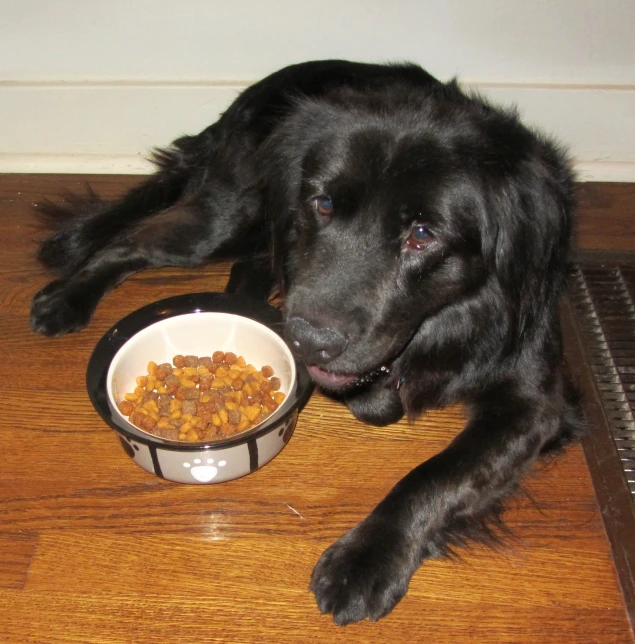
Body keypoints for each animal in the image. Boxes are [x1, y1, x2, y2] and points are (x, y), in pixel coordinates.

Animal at [32, 59, 584, 624]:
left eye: (422, 234)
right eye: (322, 203)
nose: (305, 339)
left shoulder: (533, 403)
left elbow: (438, 475)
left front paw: (365, 559)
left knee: (246, 263)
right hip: (227, 217)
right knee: (134, 240)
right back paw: (68, 298)